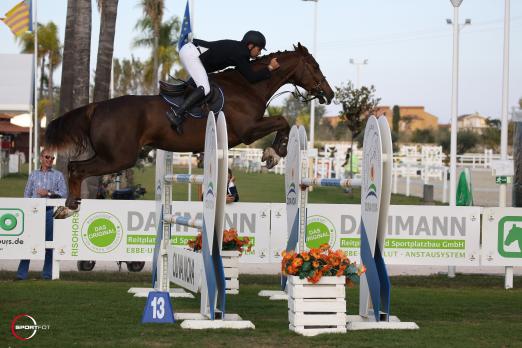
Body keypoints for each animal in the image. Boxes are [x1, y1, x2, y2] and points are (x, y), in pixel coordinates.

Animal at [45, 43, 334, 218]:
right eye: (315, 67)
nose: (330, 94)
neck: (248, 85)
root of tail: (97, 107)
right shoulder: (248, 130)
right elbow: (283, 120)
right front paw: (274, 153)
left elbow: (283, 121)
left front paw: (274, 153)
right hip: (118, 157)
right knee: (76, 168)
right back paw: (69, 208)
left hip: (114, 156)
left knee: (73, 166)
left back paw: (66, 207)